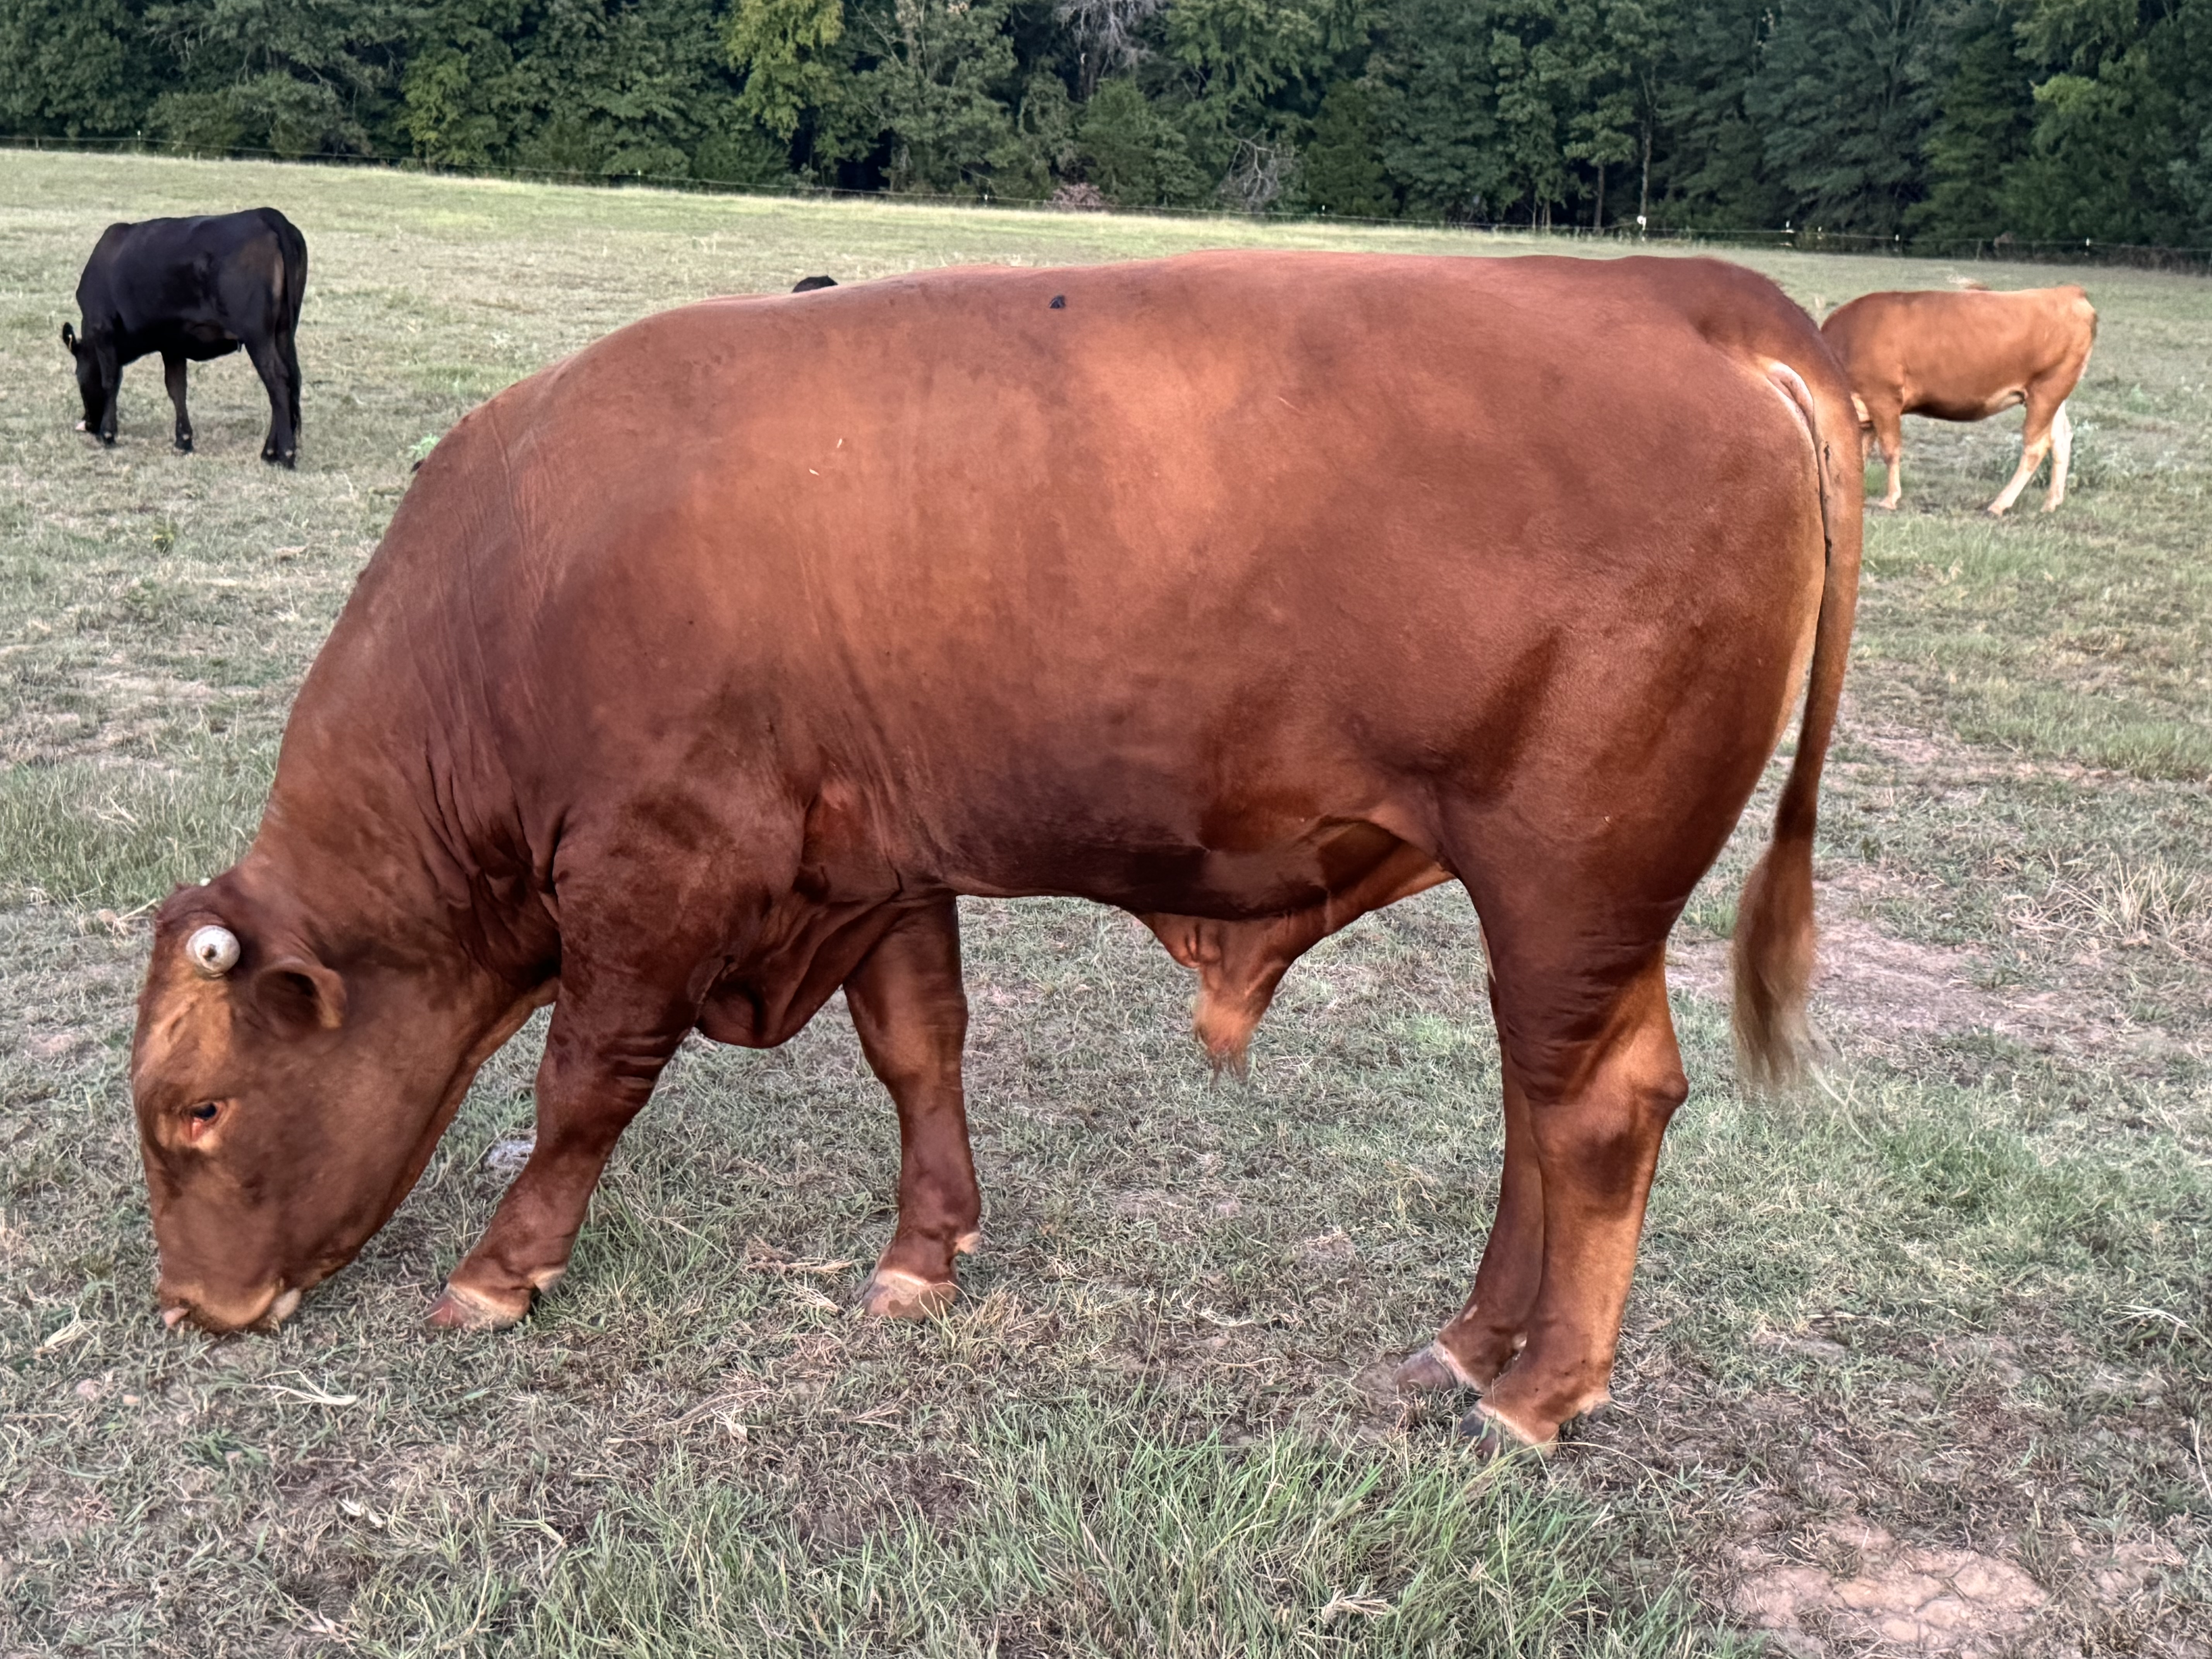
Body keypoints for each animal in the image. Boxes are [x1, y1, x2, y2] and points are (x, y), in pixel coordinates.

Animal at [63, 209, 309, 469]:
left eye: (78, 376)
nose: (88, 424)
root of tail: (265, 214)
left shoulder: (103, 330)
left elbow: (110, 381)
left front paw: (108, 435)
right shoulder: (172, 344)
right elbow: (177, 388)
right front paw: (183, 441)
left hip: (258, 336)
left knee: (277, 382)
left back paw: (283, 454)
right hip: (283, 332)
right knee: (291, 380)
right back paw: (271, 452)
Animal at [134, 253, 1867, 1460]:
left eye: (193, 1112)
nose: (191, 1311)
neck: (522, 580)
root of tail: (1675, 297)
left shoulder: (652, 874)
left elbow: (583, 1086)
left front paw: (502, 1271)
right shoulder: (879, 864)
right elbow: (920, 1047)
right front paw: (924, 1252)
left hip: (1572, 886)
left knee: (1597, 1115)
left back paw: (1539, 1394)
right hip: (1562, 917)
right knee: (1536, 1110)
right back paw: (1465, 1345)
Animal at [1822, 285, 2097, 517]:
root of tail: (2070, 292)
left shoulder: (1883, 398)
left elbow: (1890, 450)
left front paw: (1890, 499)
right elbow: (1856, 454)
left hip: (2046, 392)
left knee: (2036, 446)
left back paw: (2000, 504)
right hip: (2054, 397)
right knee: (2062, 439)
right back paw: (2051, 503)